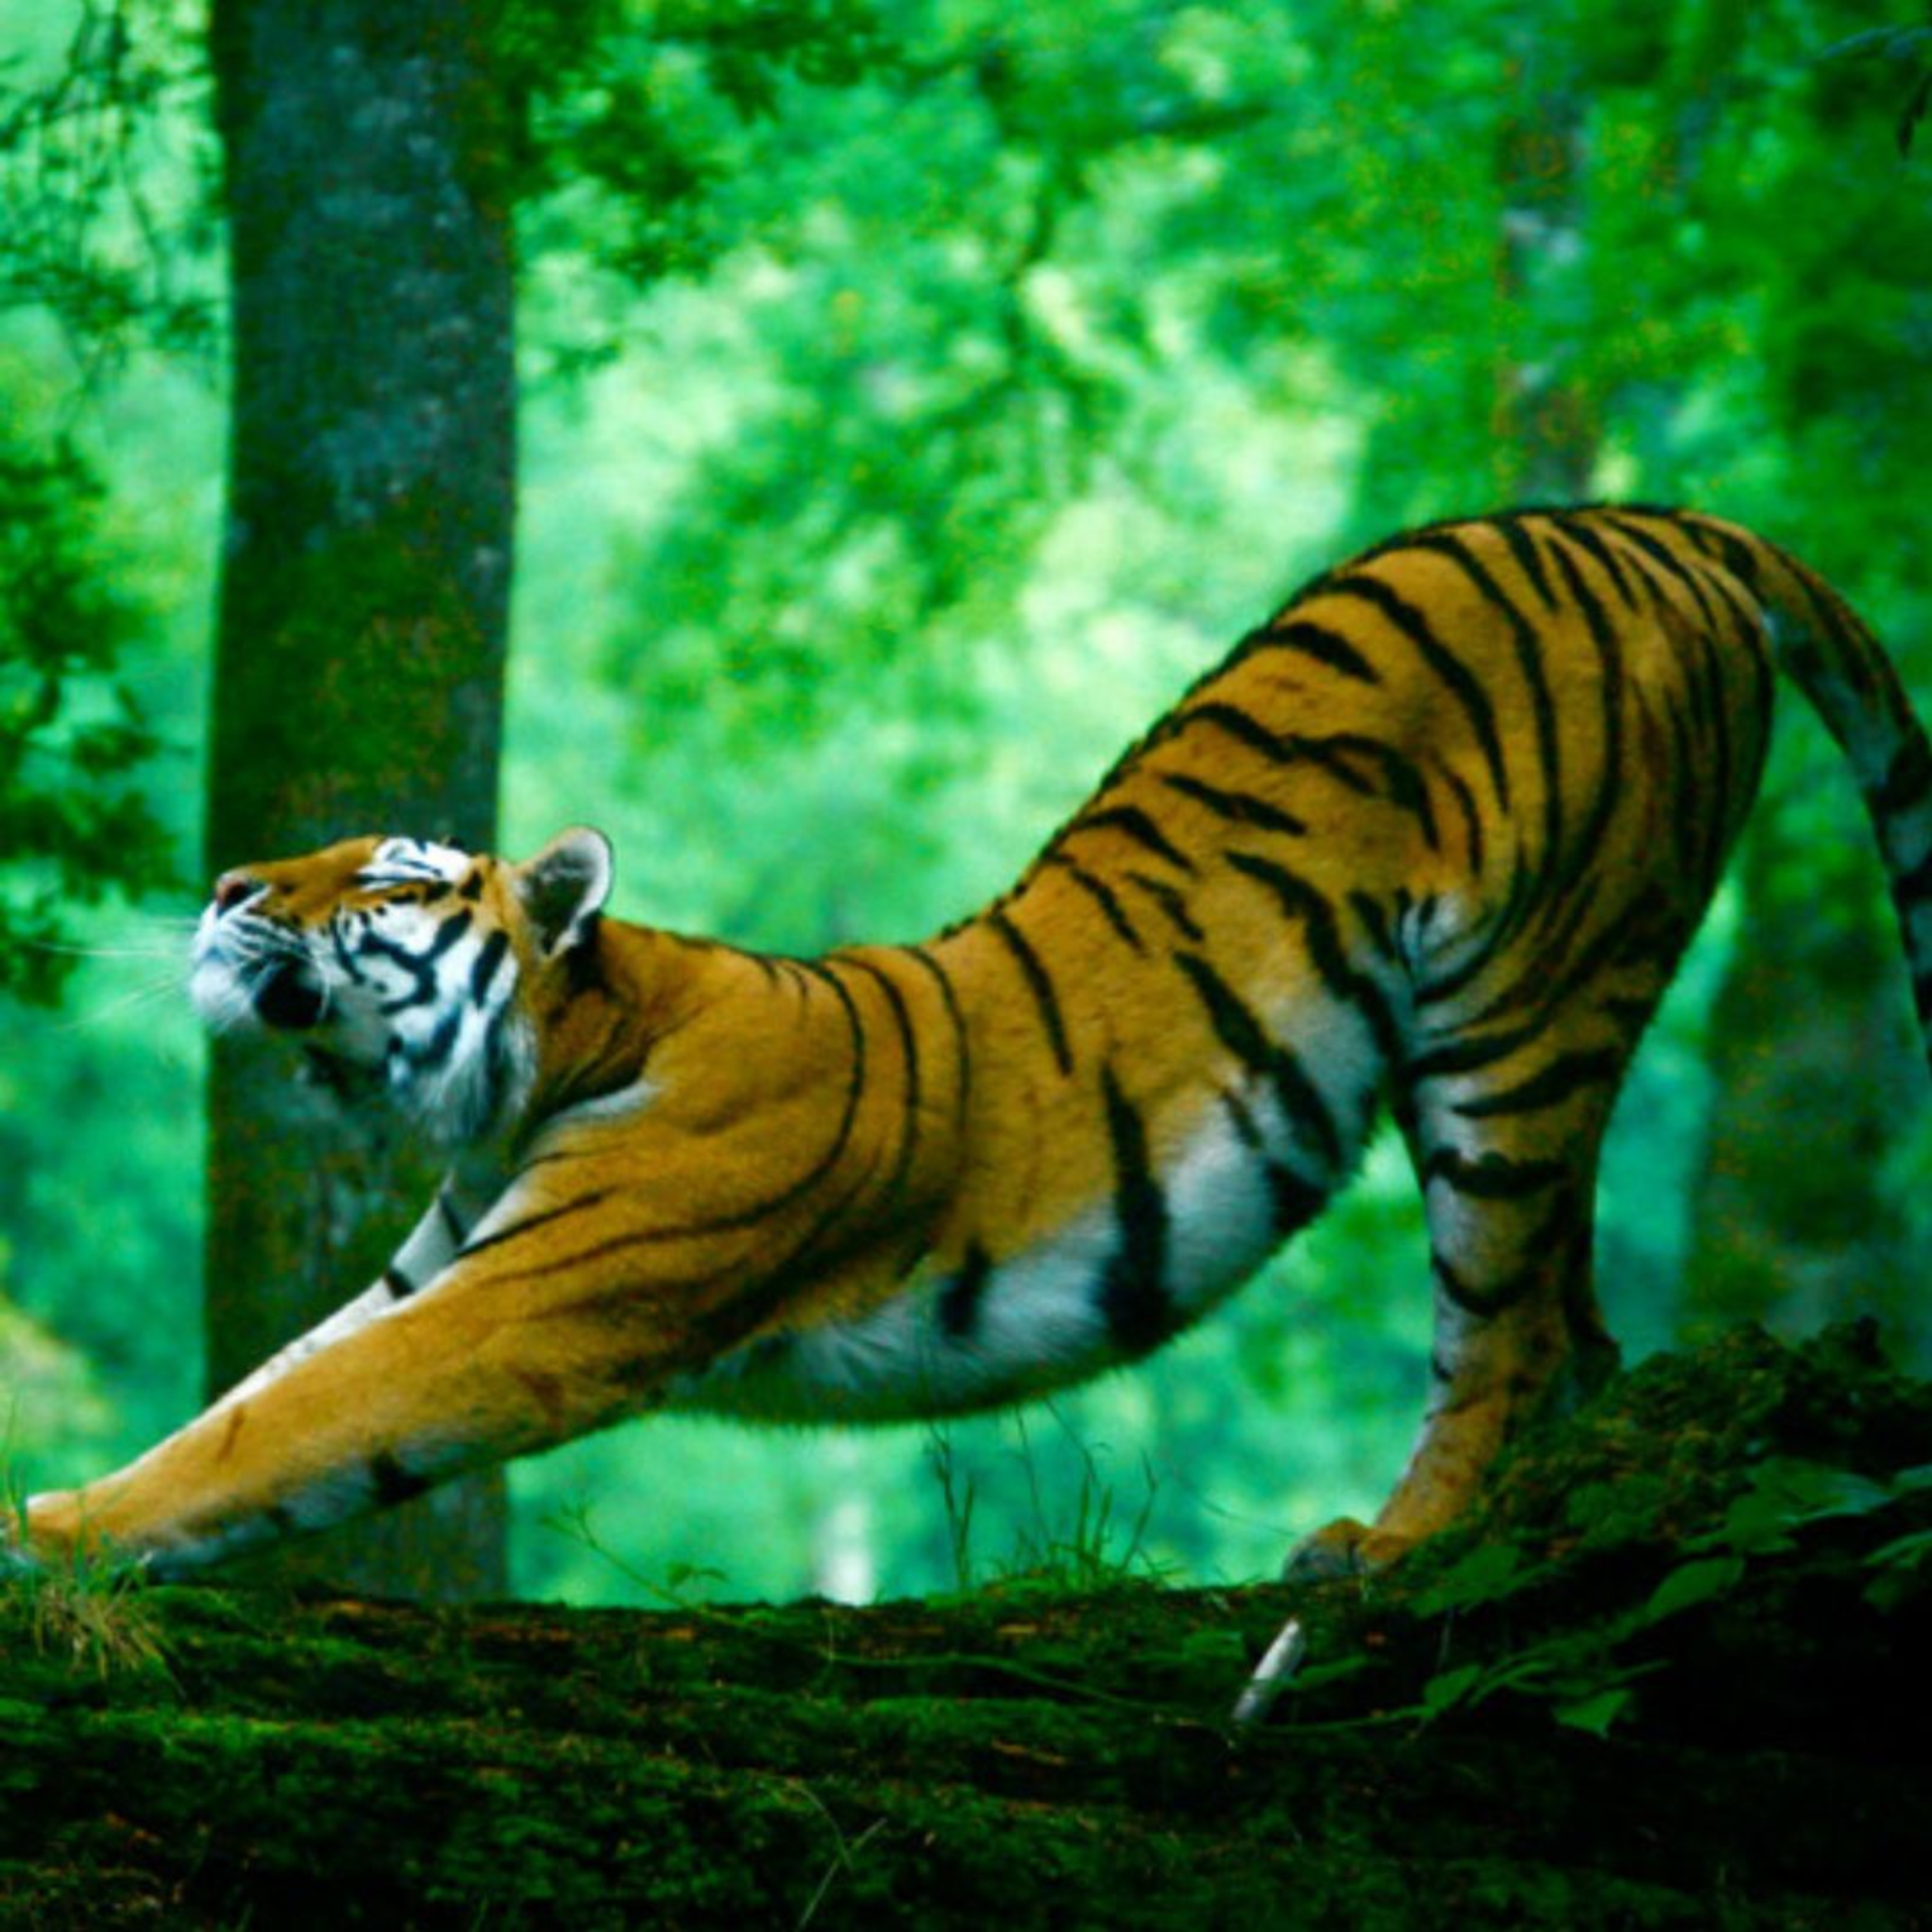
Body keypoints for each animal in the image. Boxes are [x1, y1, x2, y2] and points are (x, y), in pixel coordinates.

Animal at [11, 505, 1932, 1584]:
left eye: (388, 877)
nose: (228, 883)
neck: (528, 1076)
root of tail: (1664, 530)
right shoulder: (438, 1268)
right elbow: (260, 1394)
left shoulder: (523, 1308)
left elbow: (278, 1432)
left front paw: (44, 1547)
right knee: (1581, 1333)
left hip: (1522, 1017)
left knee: (1512, 1333)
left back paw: (1383, 1559)